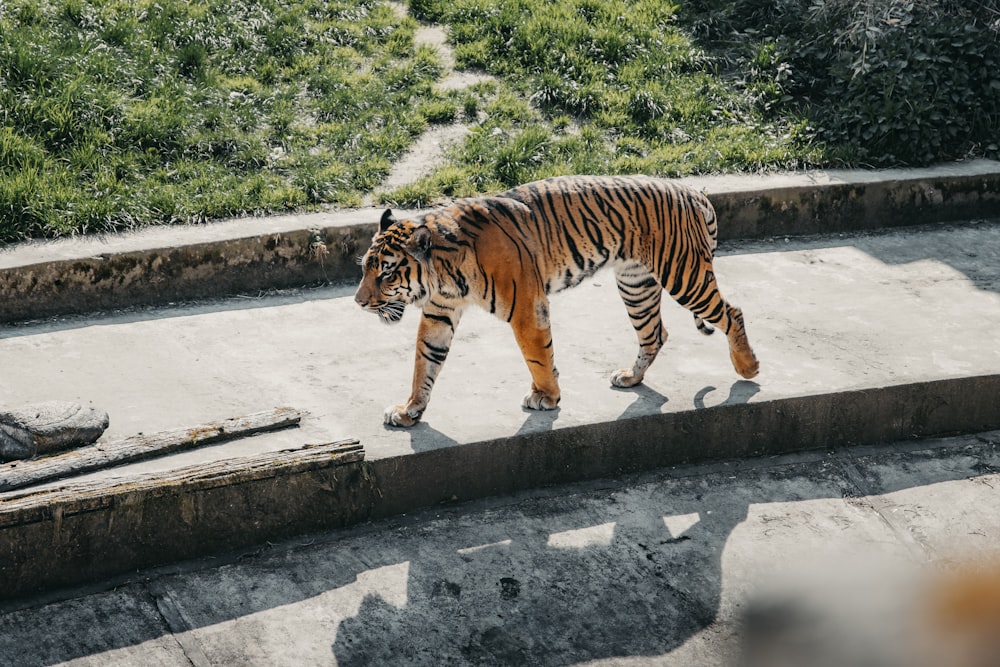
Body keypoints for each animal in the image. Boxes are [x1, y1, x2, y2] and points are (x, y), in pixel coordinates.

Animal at [354, 176, 756, 428]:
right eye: (365, 268)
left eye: (386, 272)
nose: (358, 302)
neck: (444, 274)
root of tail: (693, 191)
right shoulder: (439, 315)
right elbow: (425, 363)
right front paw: (409, 411)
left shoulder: (526, 308)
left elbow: (537, 356)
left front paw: (547, 397)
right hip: (635, 285)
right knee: (654, 333)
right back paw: (630, 377)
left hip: (683, 275)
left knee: (732, 312)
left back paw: (748, 367)